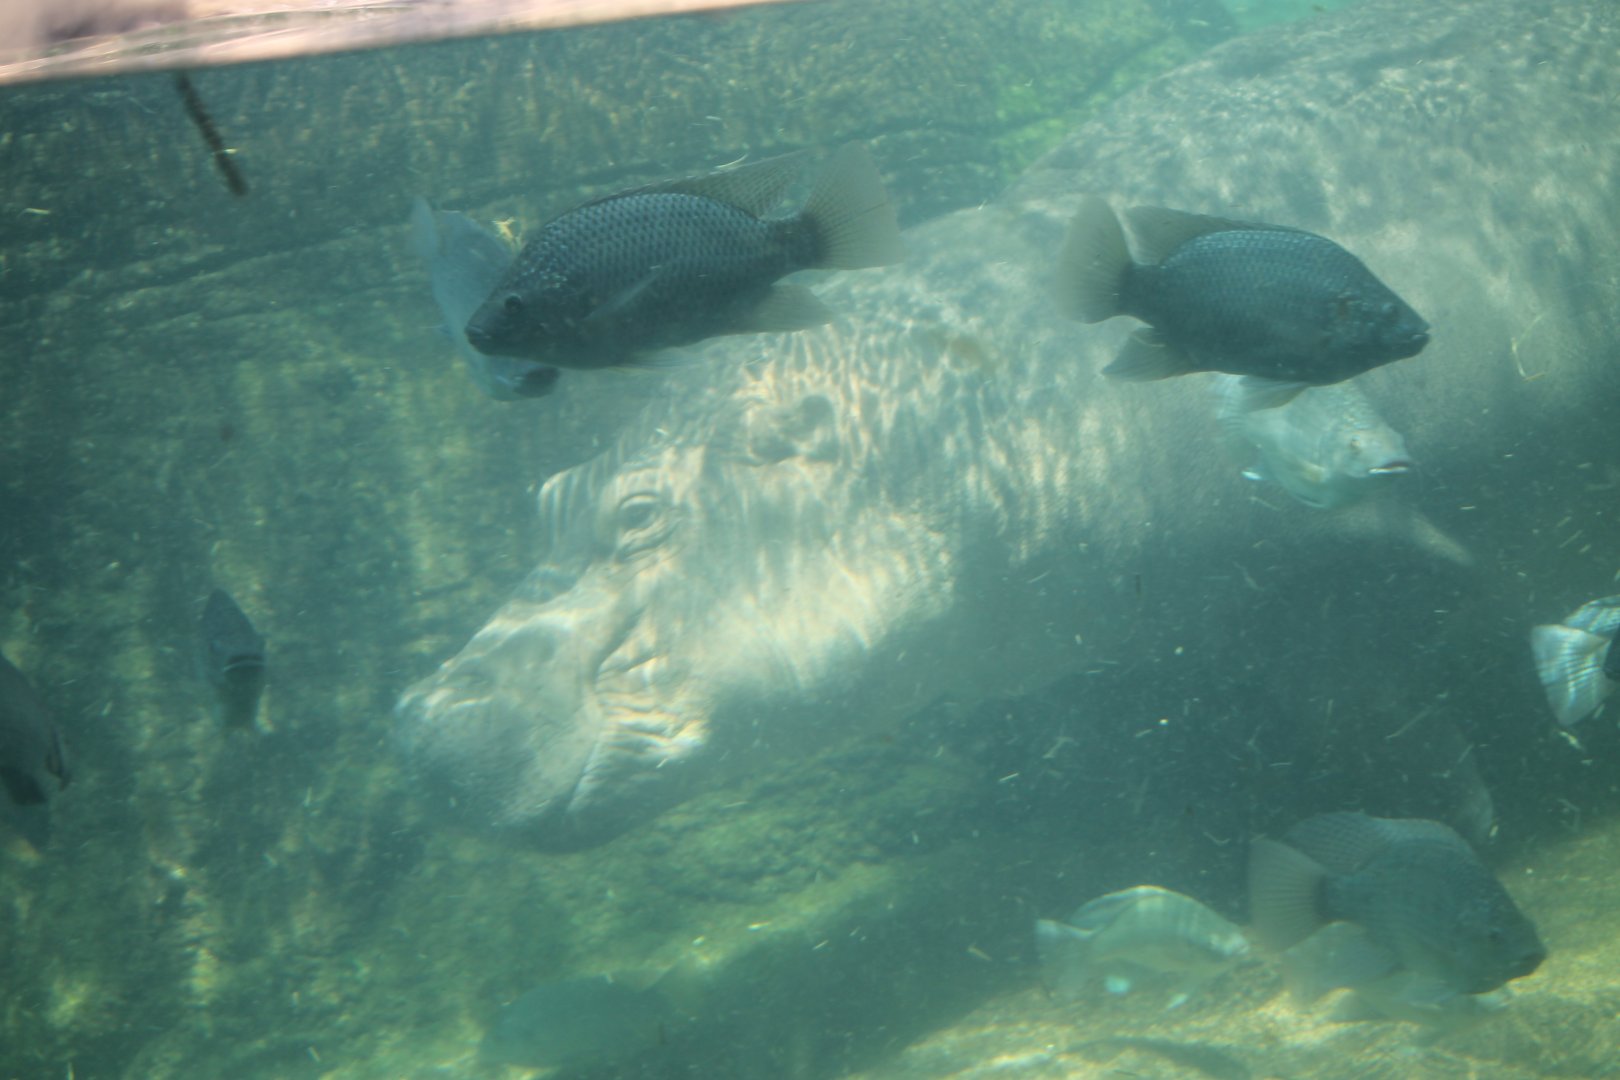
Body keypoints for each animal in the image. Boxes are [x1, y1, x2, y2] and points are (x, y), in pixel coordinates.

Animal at [397, 0, 1620, 850]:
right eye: (548, 497)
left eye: (640, 514)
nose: (419, 716)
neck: (956, 396)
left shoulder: (1338, 562)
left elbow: (1386, 710)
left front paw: (1469, 826)